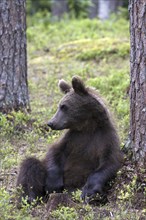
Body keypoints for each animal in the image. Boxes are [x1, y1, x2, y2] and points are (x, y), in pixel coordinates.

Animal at [16, 75, 122, 203]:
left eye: (64, 107)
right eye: (59, 105)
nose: (50, 123)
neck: (88, 127)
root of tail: (69, 191)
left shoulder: (105, 138)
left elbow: (109, 163)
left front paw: (88, 192)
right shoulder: (72, 138)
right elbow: (54, 152)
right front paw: (53, 184)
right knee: (30, 165)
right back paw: (29, 198)